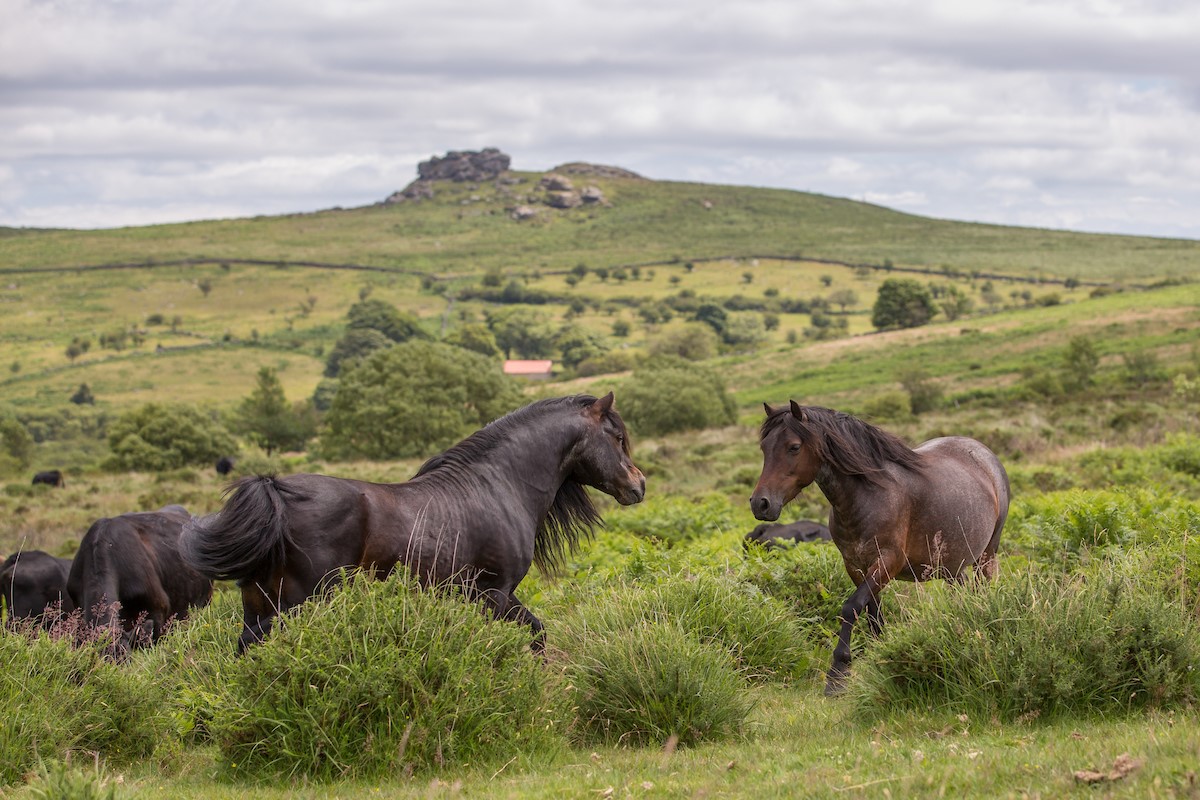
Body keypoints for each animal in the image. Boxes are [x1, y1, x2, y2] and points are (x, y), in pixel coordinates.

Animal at [180, 393, 648, 652]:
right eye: (617, 437)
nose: (638, 485)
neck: (498, 483)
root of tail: (274, 494)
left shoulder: (484, 596)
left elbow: (532, 635)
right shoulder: (493, 594)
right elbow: (522, 639)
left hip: (259, 604)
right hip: (298, 603)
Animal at [753, 400, 1008, 695]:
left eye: (793, 447)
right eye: (764, 447)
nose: (760, 504)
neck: (868, 495)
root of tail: (984, 454)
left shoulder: (888, 561)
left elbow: (851, 607)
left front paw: (838, 675)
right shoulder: (855, 565)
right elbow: (873, 614)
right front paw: (880, 658)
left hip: (986, 555)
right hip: (952, 566)